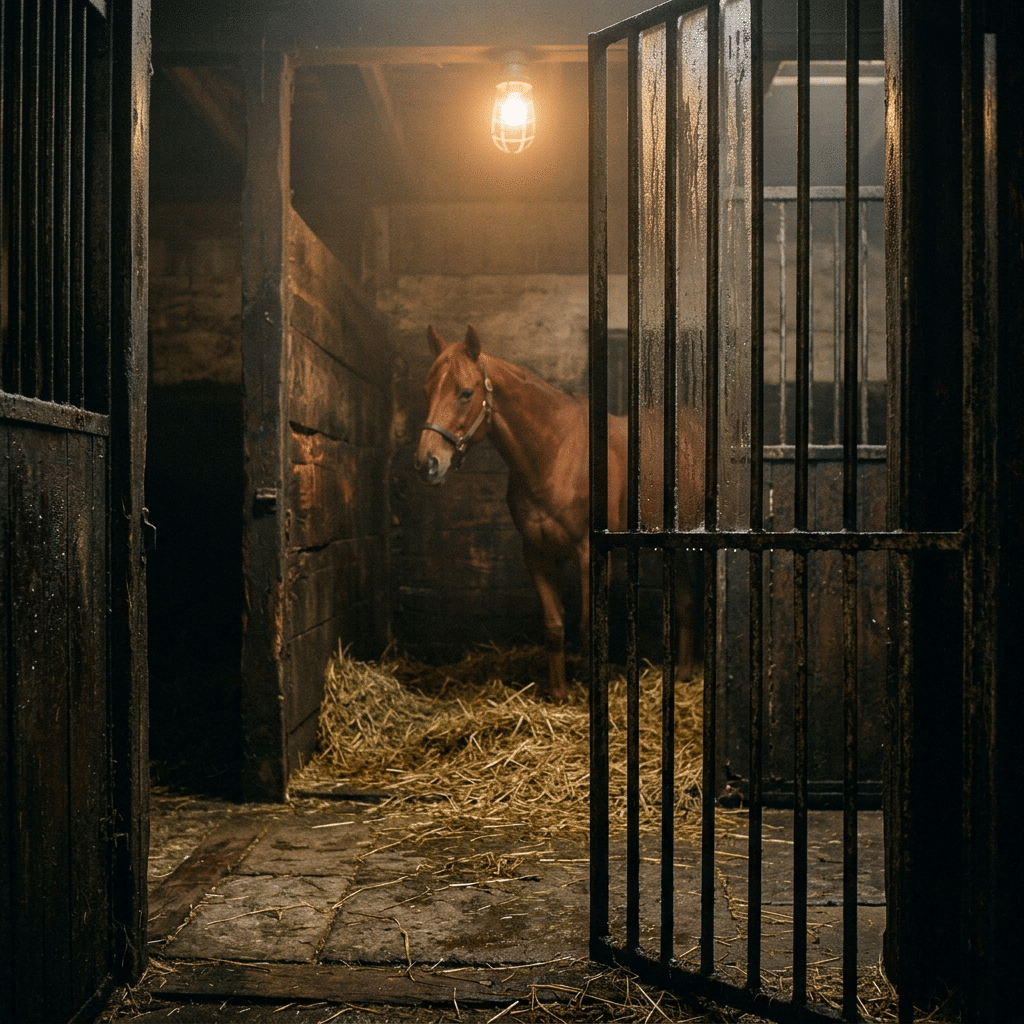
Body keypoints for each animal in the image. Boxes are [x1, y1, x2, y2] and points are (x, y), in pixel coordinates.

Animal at [414, 324, 703, 704]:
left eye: (465, 392)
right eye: (427, 390)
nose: (427, 463)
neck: (553, 453)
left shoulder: (588, 553)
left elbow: (588, 625)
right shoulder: (536, 553)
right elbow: (554, 626)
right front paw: (558, 693)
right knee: (685, 600)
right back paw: (684, 673)